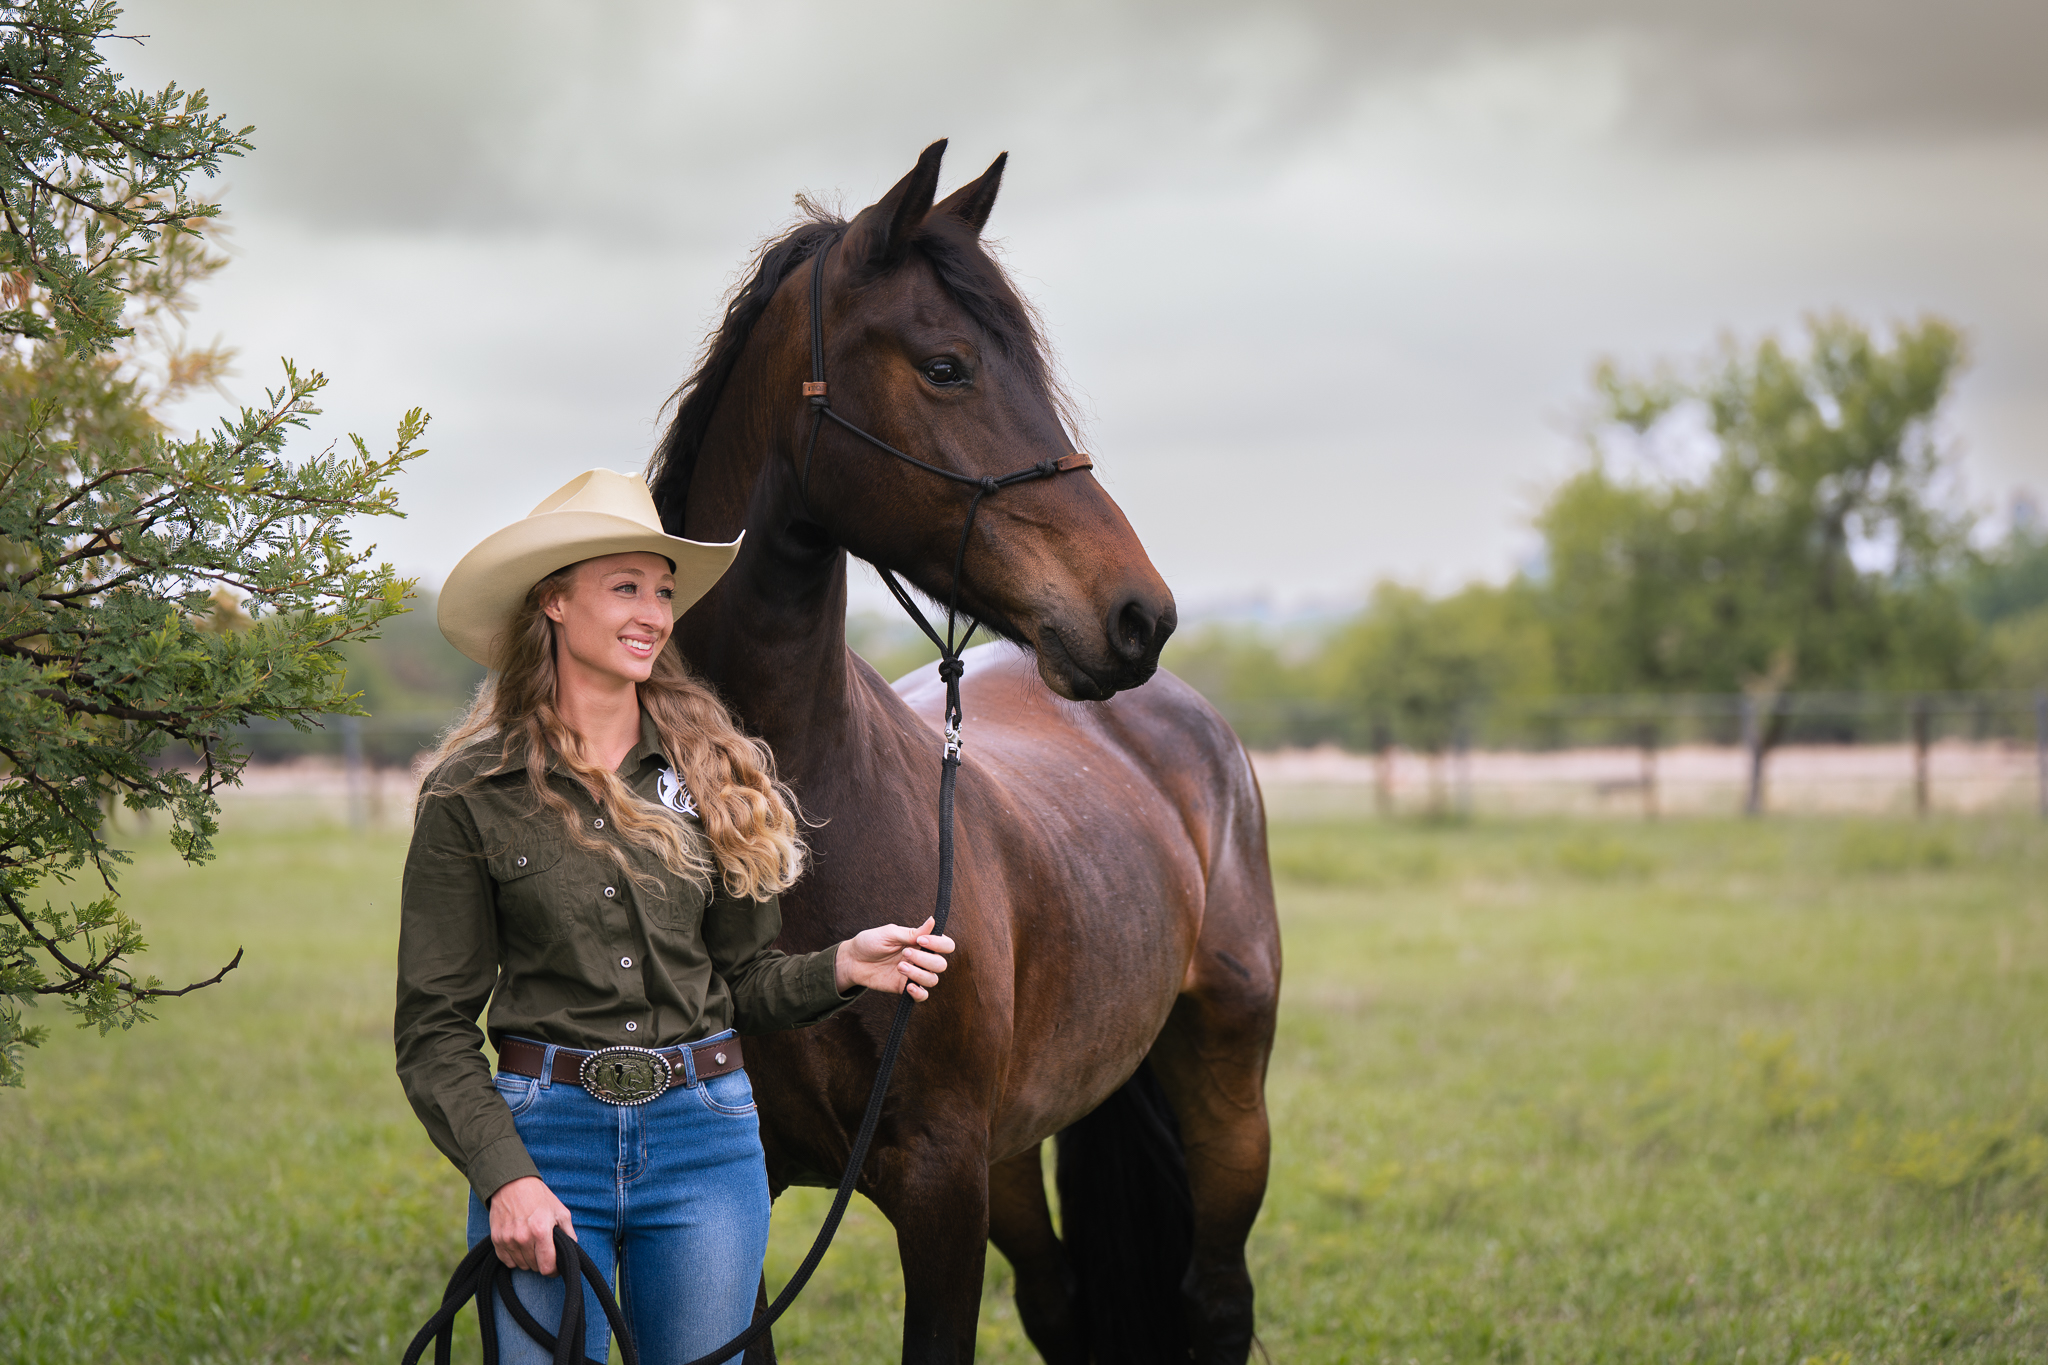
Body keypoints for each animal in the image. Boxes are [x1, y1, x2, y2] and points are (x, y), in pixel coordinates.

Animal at [645, 140, 1280, 1365]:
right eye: (946, 368)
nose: (1138, 615)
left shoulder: (937, 1188)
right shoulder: (734, 1198)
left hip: (1226, 1091)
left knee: (1217, 1299)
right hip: (1015, 1151)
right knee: (1062, 1300)